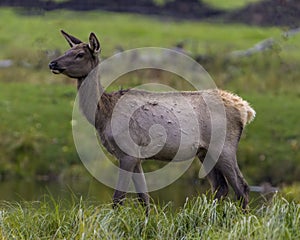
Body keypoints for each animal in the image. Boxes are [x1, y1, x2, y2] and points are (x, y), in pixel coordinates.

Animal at [49, 30, 255, 212]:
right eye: (67, 50)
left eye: (80, 54)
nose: (52, 63)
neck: (103, 115)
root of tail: (246, 109)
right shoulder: (137, 156)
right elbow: (144, 198)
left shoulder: (128, 152)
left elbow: (118, 198)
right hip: (204, 151)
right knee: (221, 187)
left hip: (225, 146)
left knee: (241, 187)